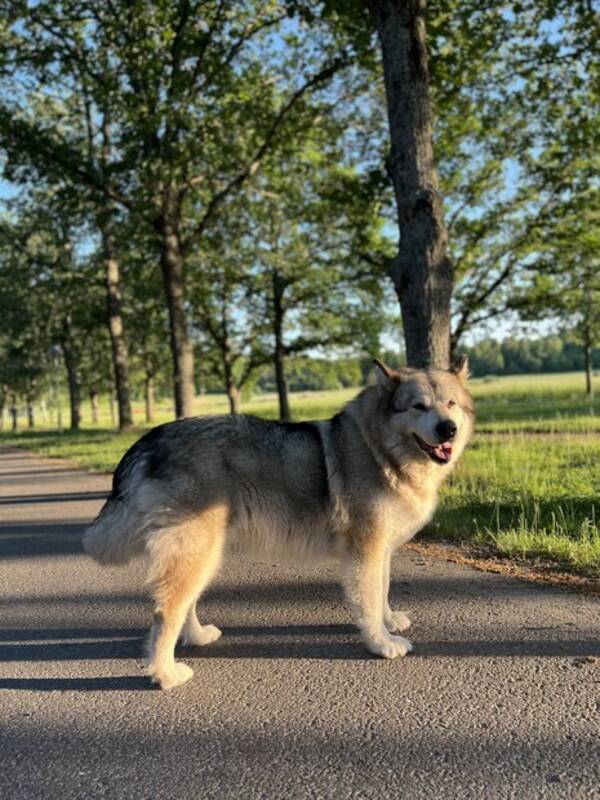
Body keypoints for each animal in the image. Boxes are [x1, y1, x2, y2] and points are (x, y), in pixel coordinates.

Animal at [83, 356, 474, 688]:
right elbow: (370, 599)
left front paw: (389, 621)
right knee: (166, 611)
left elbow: (384, 590)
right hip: (196, 551)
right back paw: (165, 674)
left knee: (185, 604)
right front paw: (381, 642)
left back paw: (196, 637)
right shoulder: (366, 550)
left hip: (203, 553)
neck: (380, 448)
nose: (448, 429)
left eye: (451, 404)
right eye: (418, 406)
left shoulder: (380, 551)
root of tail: (152, 438)